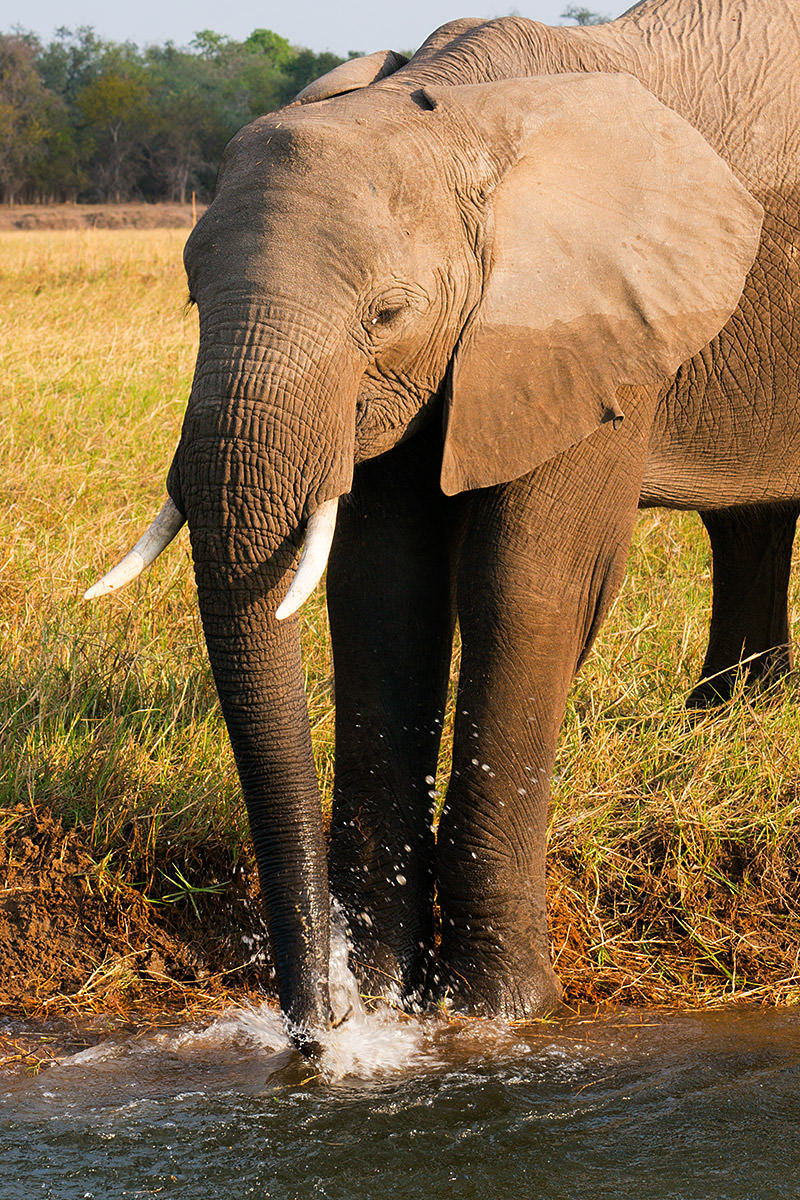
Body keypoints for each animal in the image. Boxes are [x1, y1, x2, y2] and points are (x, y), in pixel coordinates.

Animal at [87, 0, 800, 1046]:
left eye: (389, 313)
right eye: (188, 294)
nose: (318, 1026)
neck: (461, 113)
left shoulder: (587, 328)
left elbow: (525, 587)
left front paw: (498, 1011)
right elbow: (384, 596)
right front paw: (389, 1001)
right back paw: (732, 717)